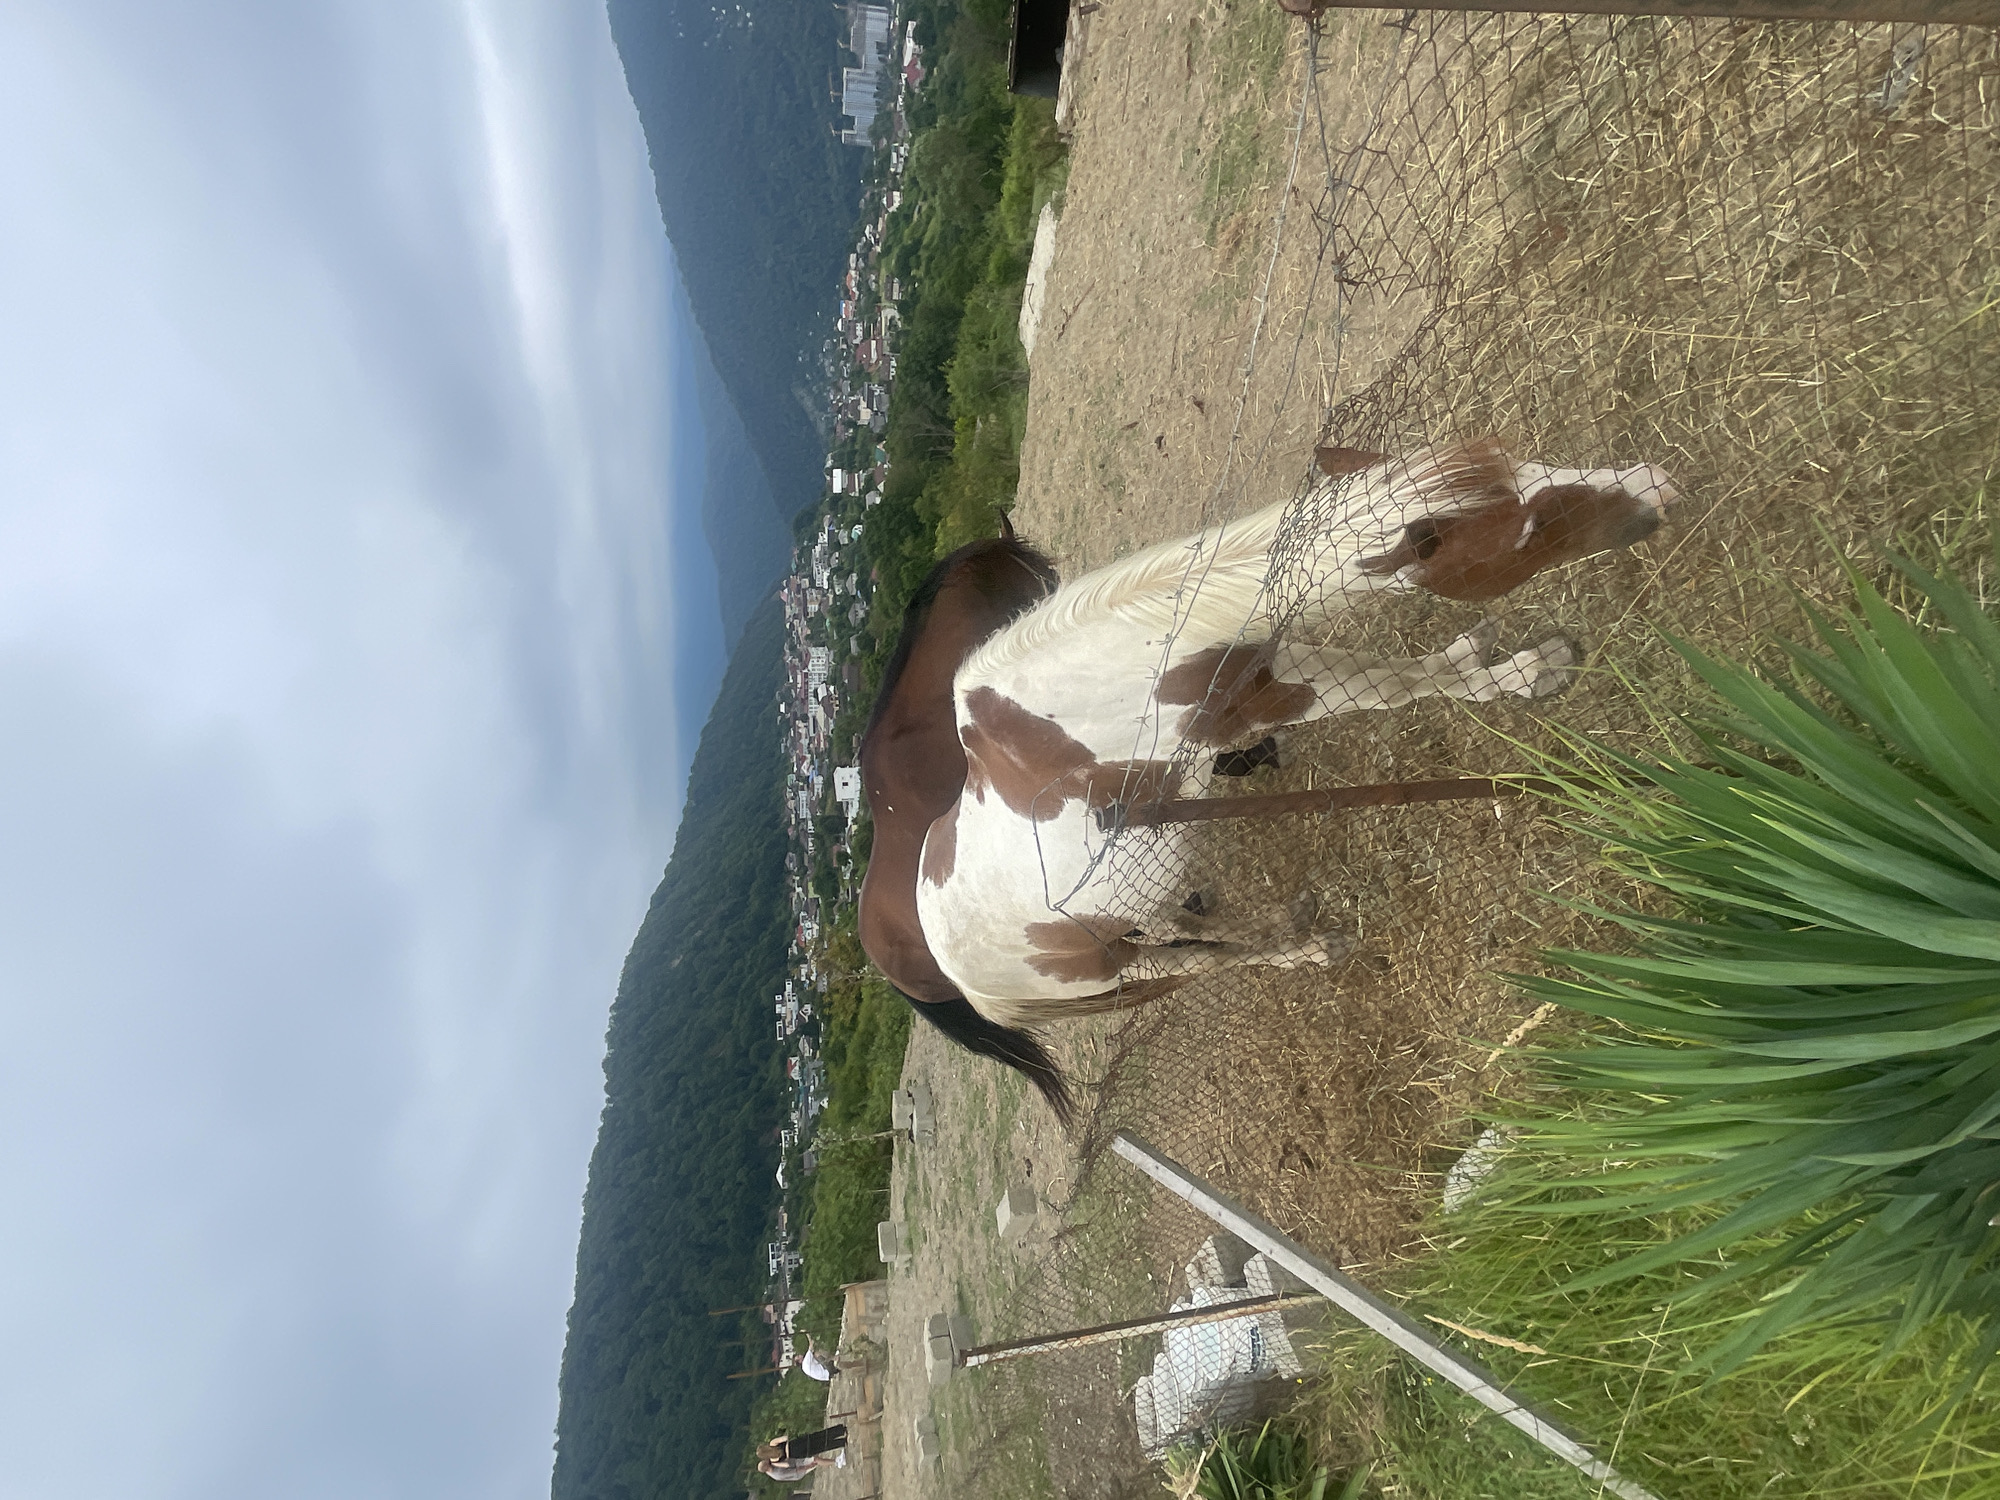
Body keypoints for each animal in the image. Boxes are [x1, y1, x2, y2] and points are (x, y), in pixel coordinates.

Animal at [861, 440, 1678, 1121]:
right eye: (1528, 528)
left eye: (1529, 464)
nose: (1655, 484)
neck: (1104, 678)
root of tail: (943, 960)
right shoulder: (1266, 699)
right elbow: (1395, 685)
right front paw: (1519, 675)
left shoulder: (1265, 671)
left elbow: (1400, 672)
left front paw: (1489, 663)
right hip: (1112, 970)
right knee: (1198, 963)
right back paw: (1304, 952)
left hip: (1138, 902)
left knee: (1191, 926)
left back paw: (1285, 923)